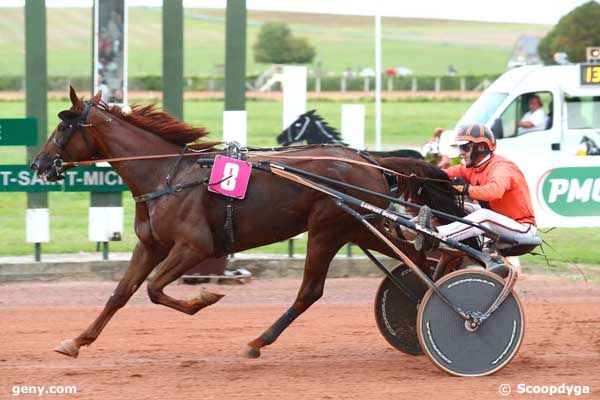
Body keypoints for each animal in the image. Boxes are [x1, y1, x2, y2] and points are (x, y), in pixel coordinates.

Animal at [30, 87, 462, 360]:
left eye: (63, 126)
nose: (38, 164)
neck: (166, 175)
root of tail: (369, 160)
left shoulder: (195, 246)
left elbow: (154, 289)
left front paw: (205, 298)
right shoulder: (150, 245)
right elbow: (120, 294)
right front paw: (76, 341)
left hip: (329, 228)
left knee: (313, 290)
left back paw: (258, 340)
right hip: (359, 226)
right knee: (416, 257)